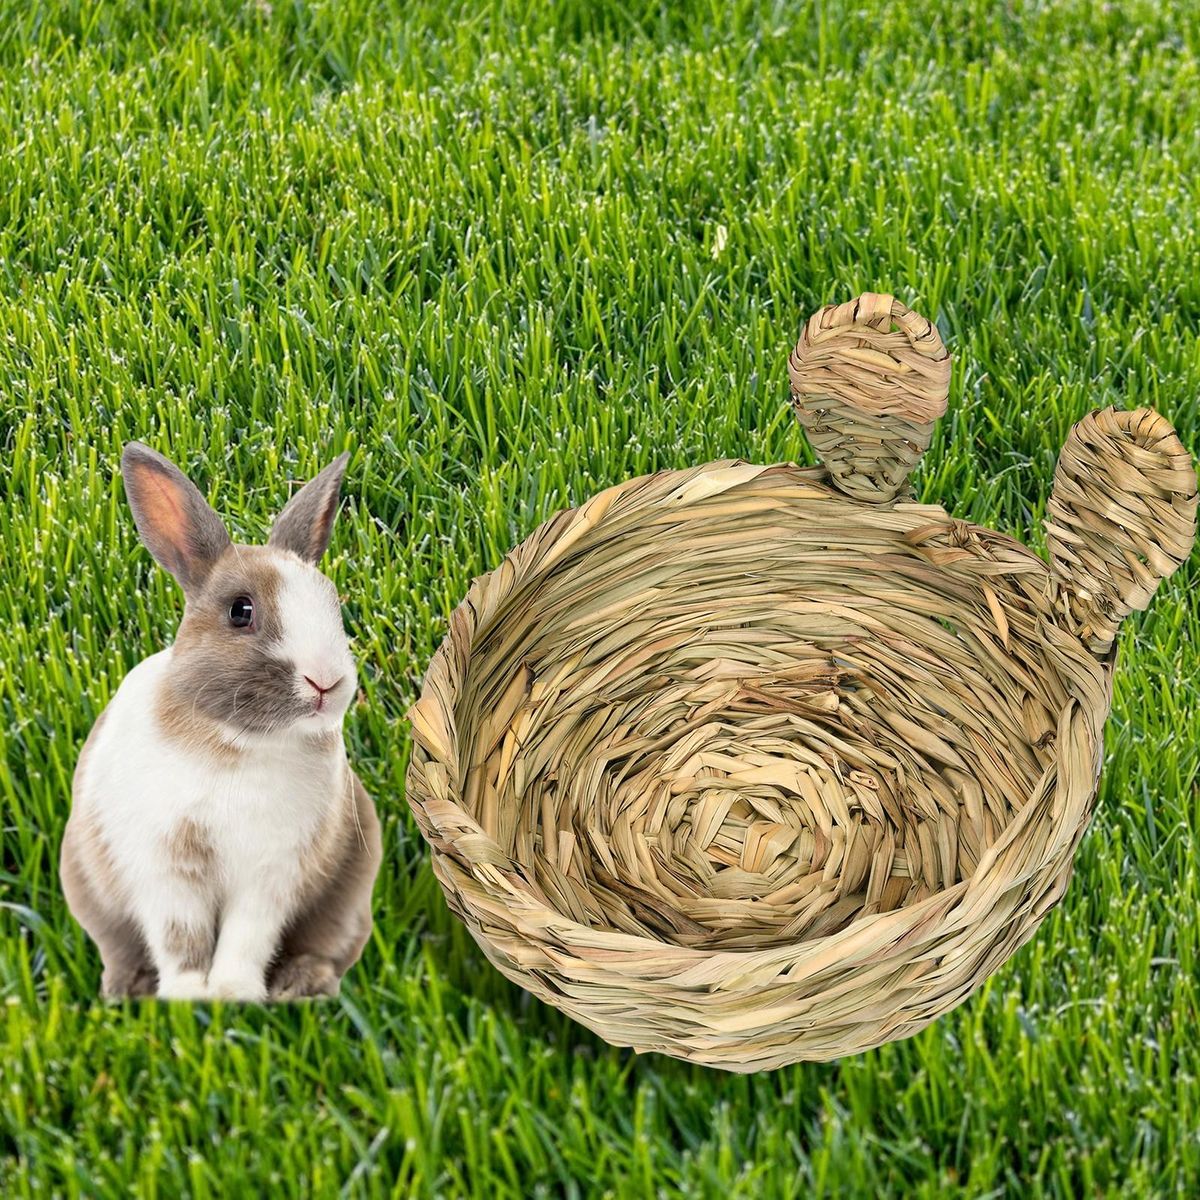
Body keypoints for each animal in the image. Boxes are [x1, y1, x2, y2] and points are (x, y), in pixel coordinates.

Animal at [60, 442, 381, 1002]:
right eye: (241, 611)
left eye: (333, 604)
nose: (326, 682)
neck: (239, 744)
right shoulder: (166, 869)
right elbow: (179, 936)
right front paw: (189, 997)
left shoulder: (271, 874)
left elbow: (246, 936)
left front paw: (235, 995)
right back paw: (129, 991)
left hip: (348, 897)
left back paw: (300, 988)